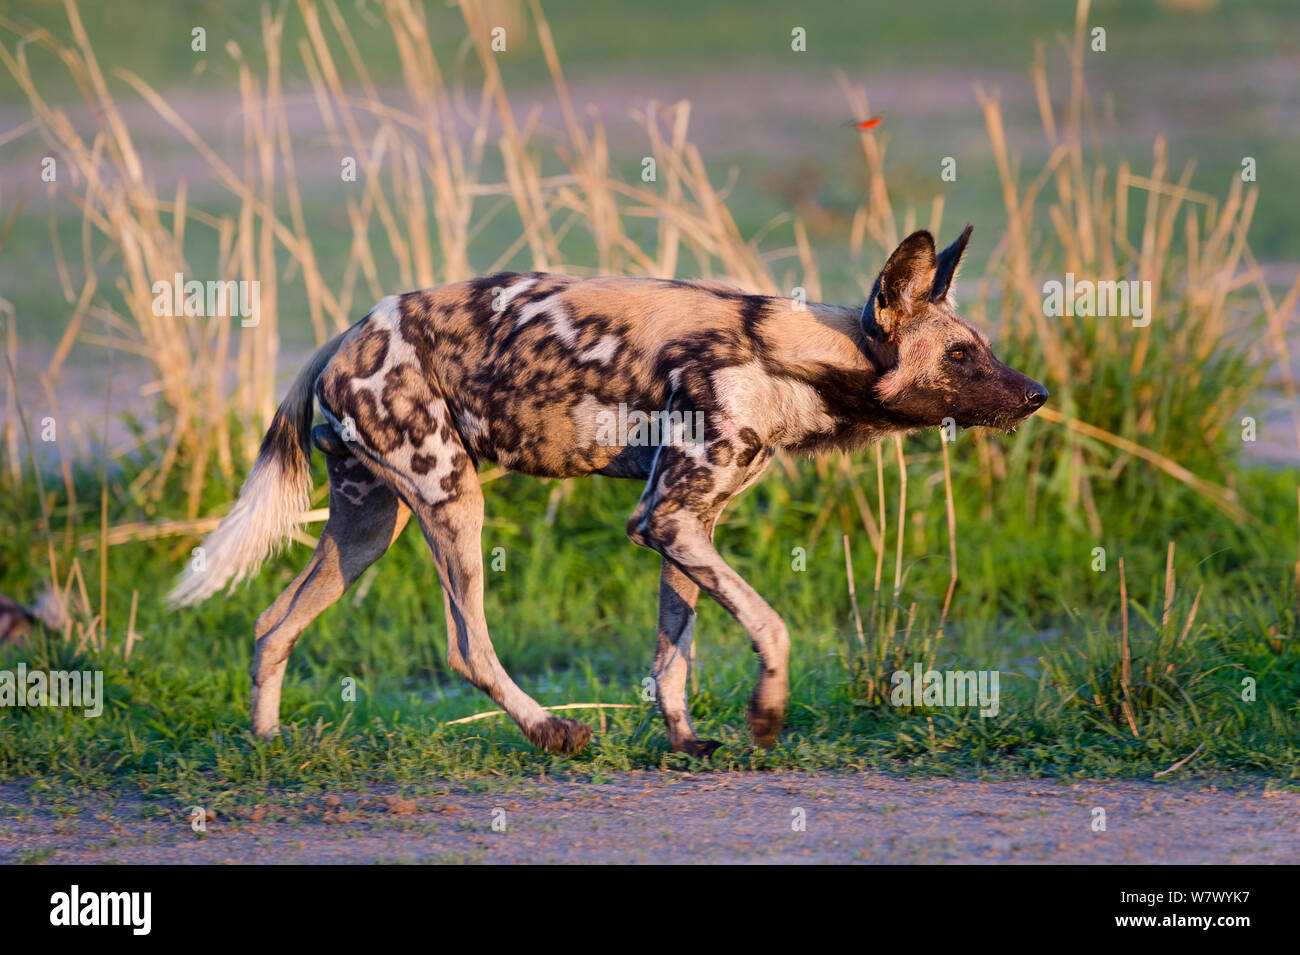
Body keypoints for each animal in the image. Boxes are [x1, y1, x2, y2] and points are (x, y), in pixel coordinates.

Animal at [170, 227, 1045, 758]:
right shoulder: (669, 518)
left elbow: (673, 654)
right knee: (465, 642)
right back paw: (550, 731)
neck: (794, 358)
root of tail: (346, 333)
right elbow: (773, 625)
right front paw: (766, 714)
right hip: (451, 497)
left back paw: (268, 744)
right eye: (962, 356)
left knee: (272, 622)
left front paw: (687, 742)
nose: (1037, 394)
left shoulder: (685, 525)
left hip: (367, 525)